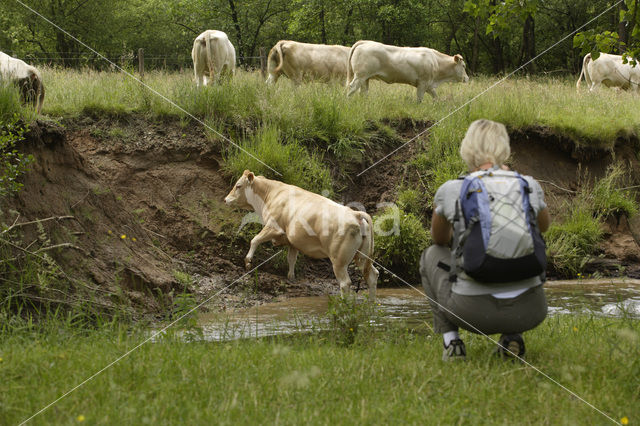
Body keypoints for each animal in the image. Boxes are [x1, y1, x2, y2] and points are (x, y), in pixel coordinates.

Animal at [224, 170, 378, 300]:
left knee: (345, 283)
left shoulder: (274, 227)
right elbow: (291, 259)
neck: (270, 195)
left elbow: (254, 240)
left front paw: (248, 261)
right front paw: (291, 277)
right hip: (361, 256)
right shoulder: (293, 242)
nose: (226, 199)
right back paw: (371, 305)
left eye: (238, 186)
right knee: (372, 276)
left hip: (339, 260)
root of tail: (355, 213)